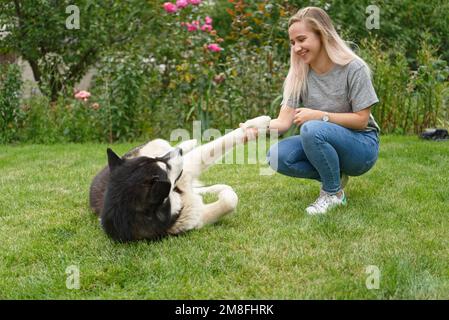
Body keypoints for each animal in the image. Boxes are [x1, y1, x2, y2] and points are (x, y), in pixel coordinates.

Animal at [88, 116, 270, 241]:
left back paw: (189, 143)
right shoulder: (194, 218)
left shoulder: (185, 168)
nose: (178, 152)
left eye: (156, 160)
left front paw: (258, 122)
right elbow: (230, 200)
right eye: (164, 169)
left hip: (158, 144)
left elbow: (223, 141)